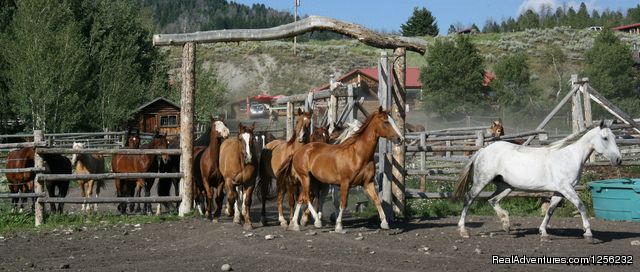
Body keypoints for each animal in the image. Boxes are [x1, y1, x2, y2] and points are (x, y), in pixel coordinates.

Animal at [276, 107, 404, 233]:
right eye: (386, 122)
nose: (400, 139)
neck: (358, 155)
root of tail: (298, 151)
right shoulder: (344, 183)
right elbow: (342, 203)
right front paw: (338, 226)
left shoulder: (368, 183)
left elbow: (377, 200)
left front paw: (385, 223)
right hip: (305, 178)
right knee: (306, 198)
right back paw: (316, 222)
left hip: (310, 180)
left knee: (301, 198)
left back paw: (295, 225)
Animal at [452, 121, 624, 242]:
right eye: (605, 138)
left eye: (615, 138)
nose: (618, 160)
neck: (569, 156)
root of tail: (482, 150)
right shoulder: (566, 188)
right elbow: (580, 205)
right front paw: (588, 233)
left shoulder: (559, 191)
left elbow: (550, 210)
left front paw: (544, 233)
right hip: (481, 181)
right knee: (468, 199)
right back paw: (463, 231)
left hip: (506, 186)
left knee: (492, 200)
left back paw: (507, 225)